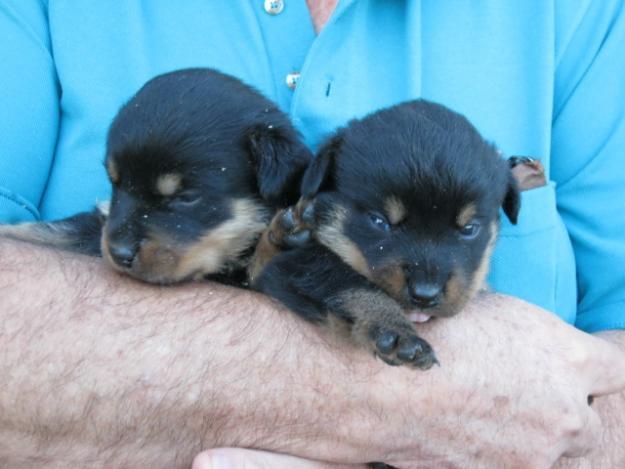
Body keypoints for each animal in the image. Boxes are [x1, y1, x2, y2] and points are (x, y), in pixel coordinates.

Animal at [0, 67, 312, 284]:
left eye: (187, 198)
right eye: (115, 184)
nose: (119, 253)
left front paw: (280, 241)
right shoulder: (101, 218)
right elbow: (50, 229)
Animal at [251, 99, 520, 370]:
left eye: (469, 229)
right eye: (379, 221)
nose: (425, 295)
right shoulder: (296, 266)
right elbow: (346, 284)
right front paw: (396, 331)